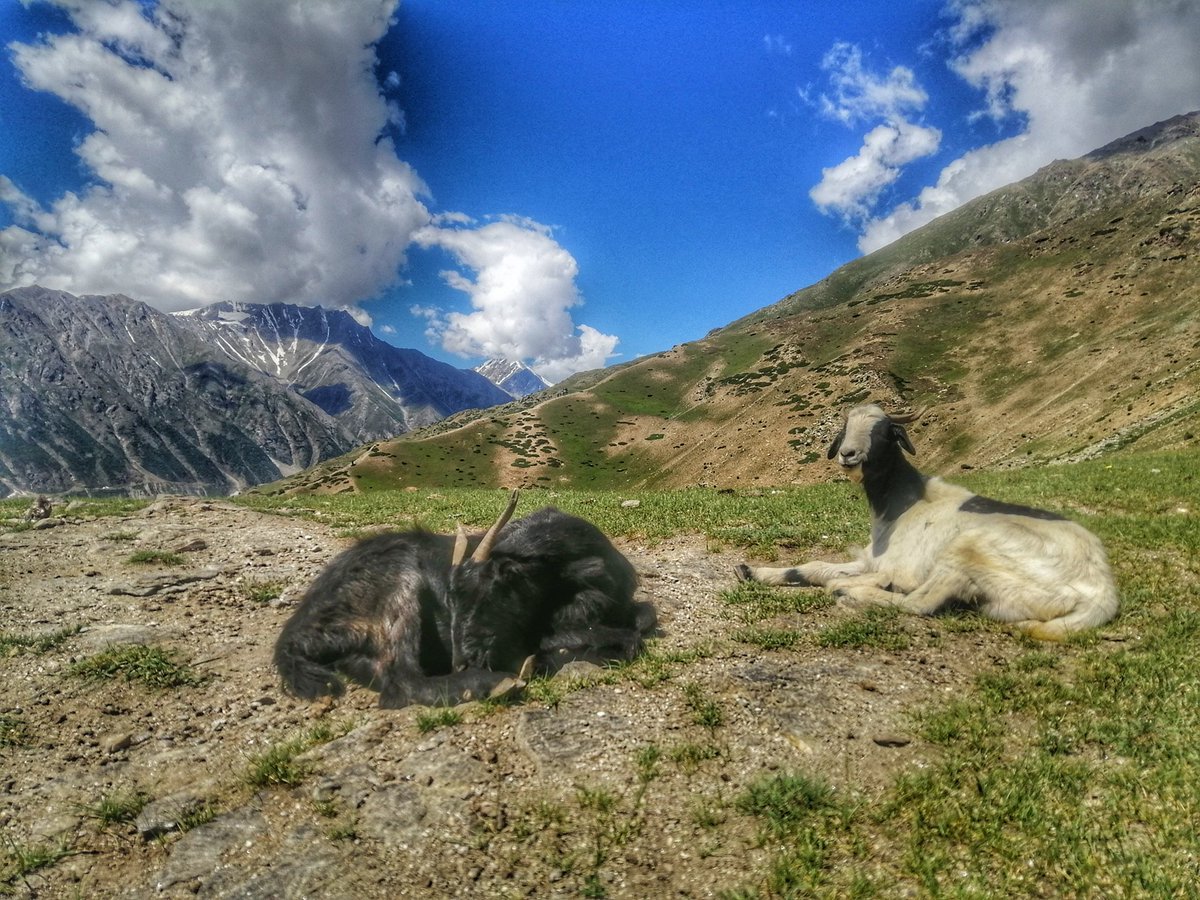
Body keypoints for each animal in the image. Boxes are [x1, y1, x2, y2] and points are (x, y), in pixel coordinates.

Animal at [274, 492, 655, 708]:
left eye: (499, 586)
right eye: (451, 598)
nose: (463, 661)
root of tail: (295, 635)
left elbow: (642, 618)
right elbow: (614, 636)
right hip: (400, 584)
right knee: (401, 682)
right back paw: (490, 684)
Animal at [735, 404, 1119, 641]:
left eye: (884, 432)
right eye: (845, 429)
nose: (848, 454)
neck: (901, 505)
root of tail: (1102, 592)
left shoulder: (900, 565)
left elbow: (879, 582)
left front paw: (860, 585)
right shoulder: (871, 559)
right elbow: (813, 567)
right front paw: (751, 571)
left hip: (970, 549)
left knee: (920, 602)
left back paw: (851, 592)